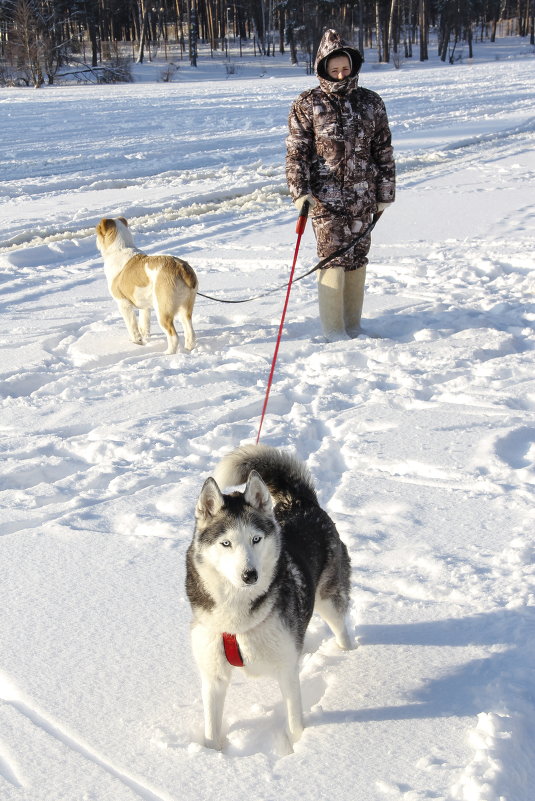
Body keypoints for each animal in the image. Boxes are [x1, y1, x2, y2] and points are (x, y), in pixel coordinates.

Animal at [96, 219, 197, 356]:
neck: (121, 248)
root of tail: (181, 268)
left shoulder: (123, 304)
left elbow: (132, 326)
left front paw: (136, 342)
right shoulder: (145, 306)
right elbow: (144, 323)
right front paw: (145, 337)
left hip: (163, 311)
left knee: (173, 336)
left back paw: (168, 353)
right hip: (185, 307)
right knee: (189, 330)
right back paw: (188, 349)